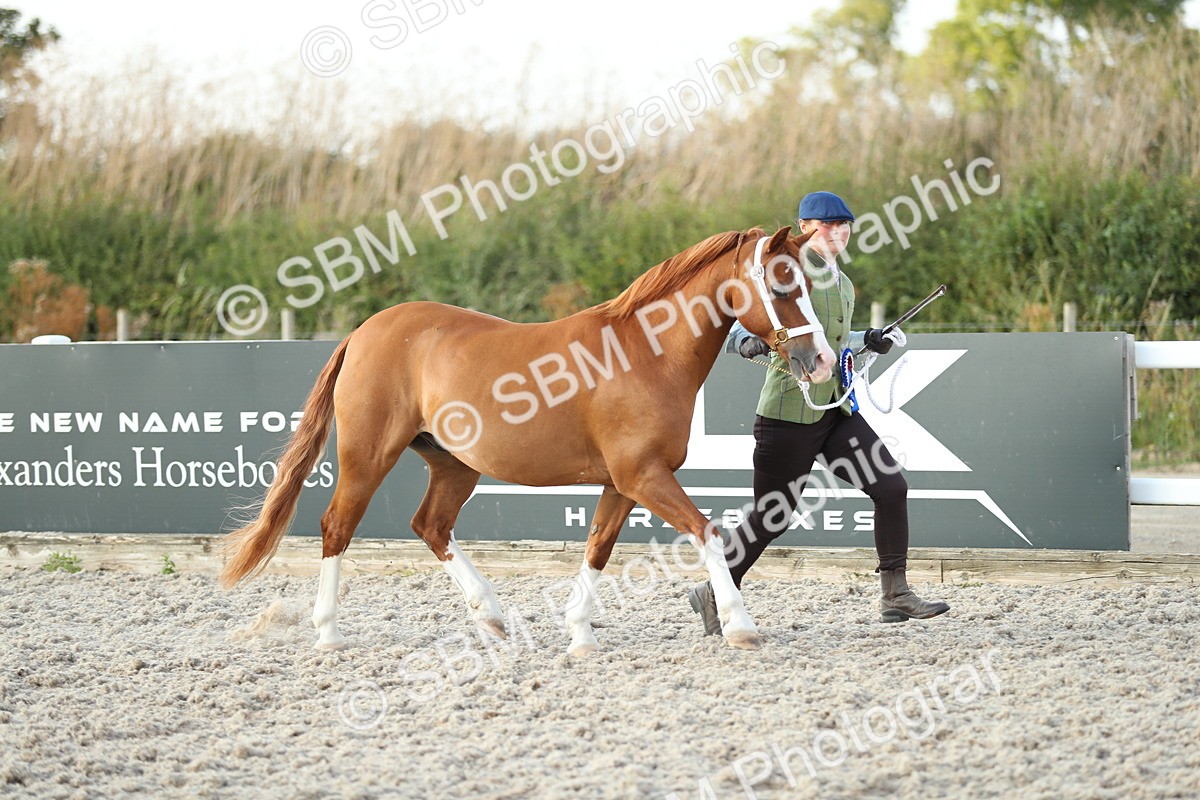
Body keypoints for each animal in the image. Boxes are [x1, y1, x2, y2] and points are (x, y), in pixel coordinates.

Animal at [219, 225, 836, 655]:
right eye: (782, 284)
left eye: (808, 283)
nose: (824, 361)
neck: (646, 355)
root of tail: (365, 330)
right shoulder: (644, 476)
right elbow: (707, 532)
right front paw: (741, 626)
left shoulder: (623, 483)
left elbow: (598, 548)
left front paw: (580, 634)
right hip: (368, 456)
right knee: (337, 527)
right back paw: (328, 633)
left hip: (455, 465)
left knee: (430, 525)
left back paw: (490, 616)